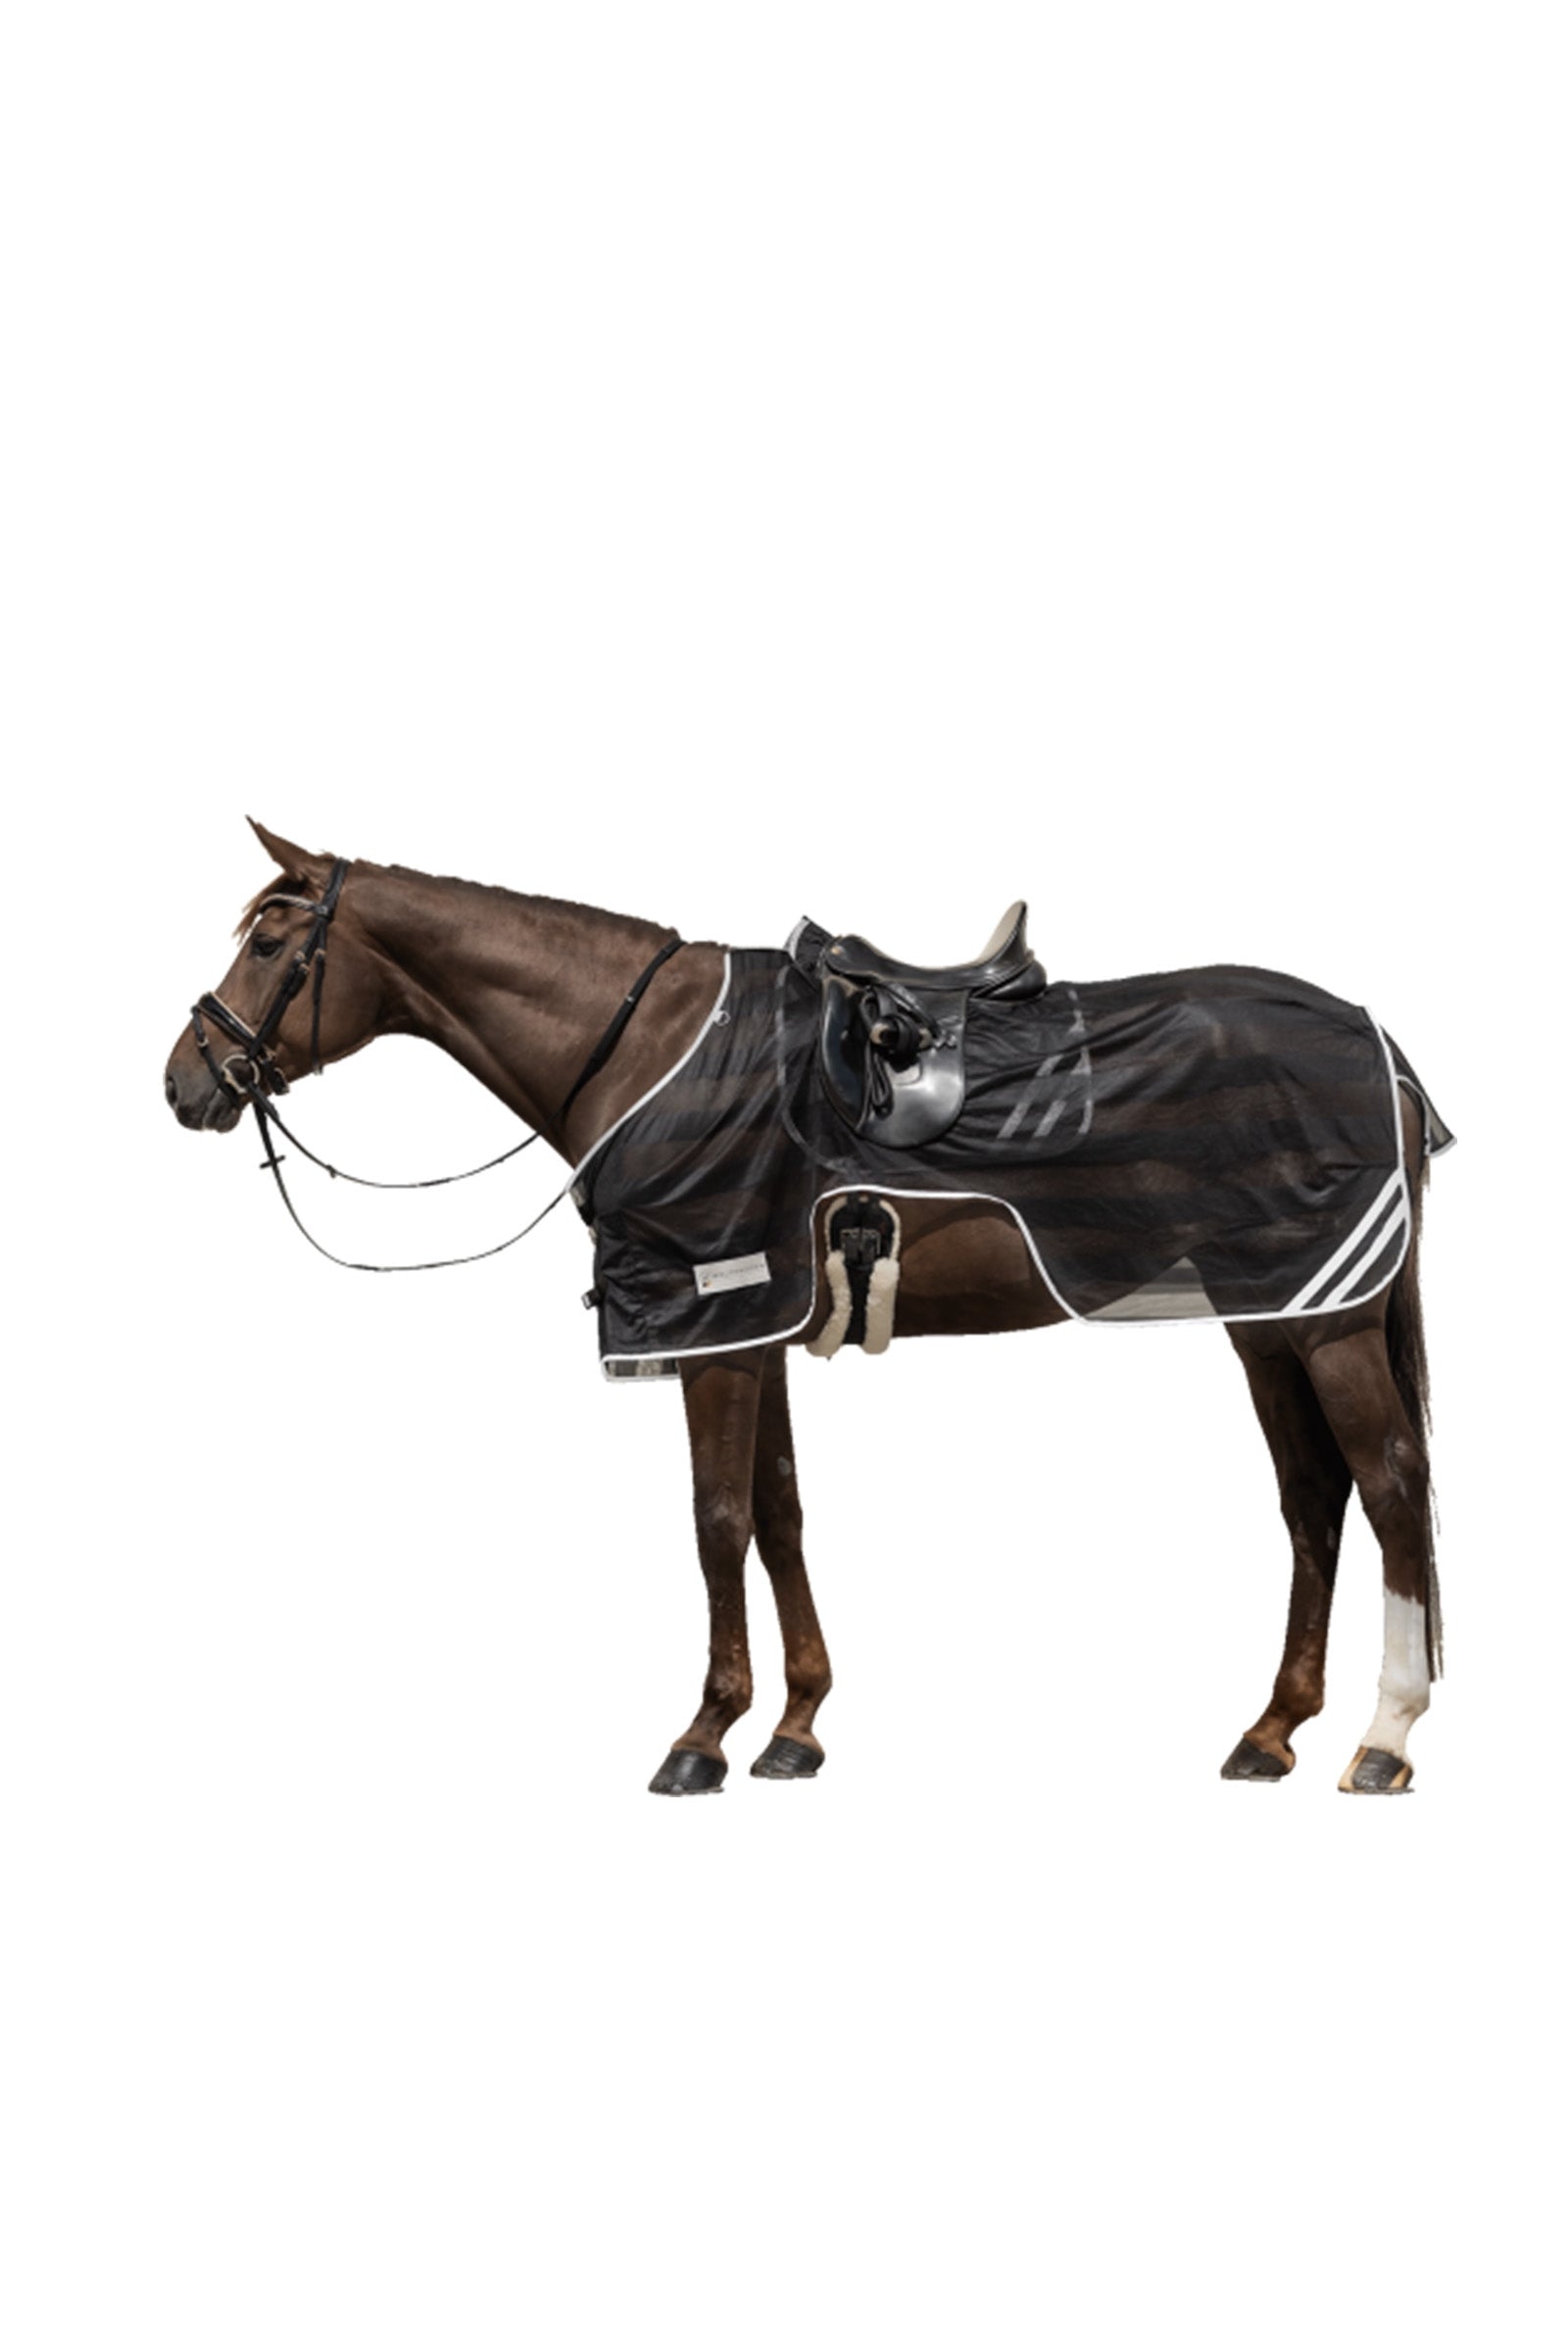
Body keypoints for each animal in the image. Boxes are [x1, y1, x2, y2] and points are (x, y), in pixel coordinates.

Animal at [165, 821, 1446, 1799]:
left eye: (270, 941)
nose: (185, 1080)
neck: (652, 1052)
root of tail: (1375, 1038)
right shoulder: (756, 1327)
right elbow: (778, 1512)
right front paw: (793, 1728)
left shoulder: (708, 1322)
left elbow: (717, 1518)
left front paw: (701, 1736)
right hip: (1266, 1315)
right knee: (1312, 1496)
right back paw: (1271, 1731)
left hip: (1324, 1317)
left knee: (1386, 1483)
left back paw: (1384, 1738)